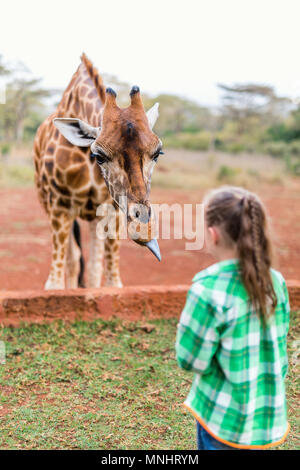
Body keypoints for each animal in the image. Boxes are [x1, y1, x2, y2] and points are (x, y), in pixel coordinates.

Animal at [33, 53, 162, 288]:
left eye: (157, 153)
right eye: (100, 155)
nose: (144, 230)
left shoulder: (112, 211)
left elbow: (110, 281)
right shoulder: (59, 207)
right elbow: (54, 282)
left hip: (94, 216)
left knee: (91, 266)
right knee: (73, 260)